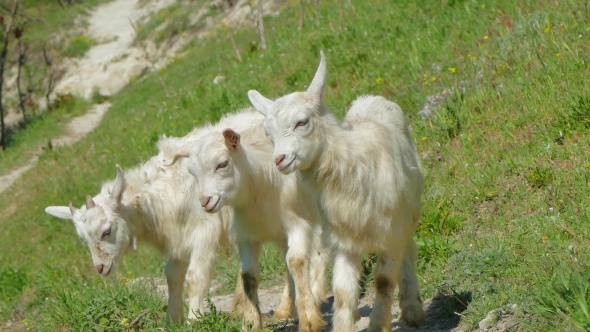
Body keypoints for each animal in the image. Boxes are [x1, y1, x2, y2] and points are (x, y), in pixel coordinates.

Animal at [43, 111, 294, 326]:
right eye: (82, 239)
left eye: (107, 230)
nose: (101, 268)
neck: (169, 186)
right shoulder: (179, 234)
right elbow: (172, 275)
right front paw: (173, 320)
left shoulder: (204, 231)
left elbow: (195, 276)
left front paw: (194, 320)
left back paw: (283, 308)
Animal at [247, 52, 428, 332]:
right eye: (268, 133)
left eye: (302, 122)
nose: (279, 160)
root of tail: (370, 98)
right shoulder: (343, 240)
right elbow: (343, 293)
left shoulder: (391, 232)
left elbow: (384, 281)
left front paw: (378, 324)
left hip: (406, 215)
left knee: (408, 251)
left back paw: (412, 310)